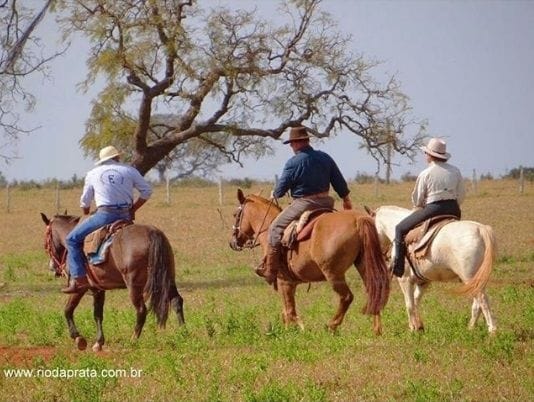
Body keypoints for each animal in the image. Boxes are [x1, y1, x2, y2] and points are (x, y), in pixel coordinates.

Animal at [40, 212, 186, 350]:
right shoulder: (98, 289)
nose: (52, 267)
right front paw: (98, 342)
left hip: (134, 286)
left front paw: (78, 338)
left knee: (141, 310)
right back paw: (183, 332)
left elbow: (68, 310)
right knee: (176, 301)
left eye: (46, 241)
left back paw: (133, 340)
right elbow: (98, 314)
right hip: (168, 280)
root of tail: (152, 233)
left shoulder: (79, 287)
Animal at [228, 190, 392, 334]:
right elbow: (286, 311)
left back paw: (332, 325)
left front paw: (293, 331)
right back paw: (376, 329)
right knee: (374, 290)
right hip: (364, 265)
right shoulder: (291, 283)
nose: (232, 242)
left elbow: (289, 311)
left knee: (346, 297)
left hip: (333, 274)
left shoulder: (284, 282)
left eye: (236, 214)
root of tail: (358, 220)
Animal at [372, 204, 498, 332]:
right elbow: (416, 301)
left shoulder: (404, 279)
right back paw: (471, 328)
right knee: (477, 303)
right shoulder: (423, 282)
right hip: (476, 280)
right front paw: (419, 326)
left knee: (482, 300)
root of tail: (481, 229)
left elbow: (409, 304)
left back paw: (492, 330)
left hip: (470, 278)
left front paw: (413, 328)